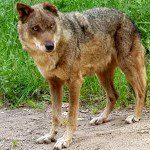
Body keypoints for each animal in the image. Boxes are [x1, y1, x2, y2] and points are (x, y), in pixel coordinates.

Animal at [16, 1, 146, 149]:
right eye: (35, 28)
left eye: (51, 26)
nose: (50, 46)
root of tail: (127, 17)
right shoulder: (53, 84)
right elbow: (55, 116)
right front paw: (50, 136)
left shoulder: (75, 82)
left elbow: (71, 116)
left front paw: (65, 139)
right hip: (102, 75)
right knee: (114, 96)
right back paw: (101, 118)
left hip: (127, 68)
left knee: (141, 90)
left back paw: (135, 116)